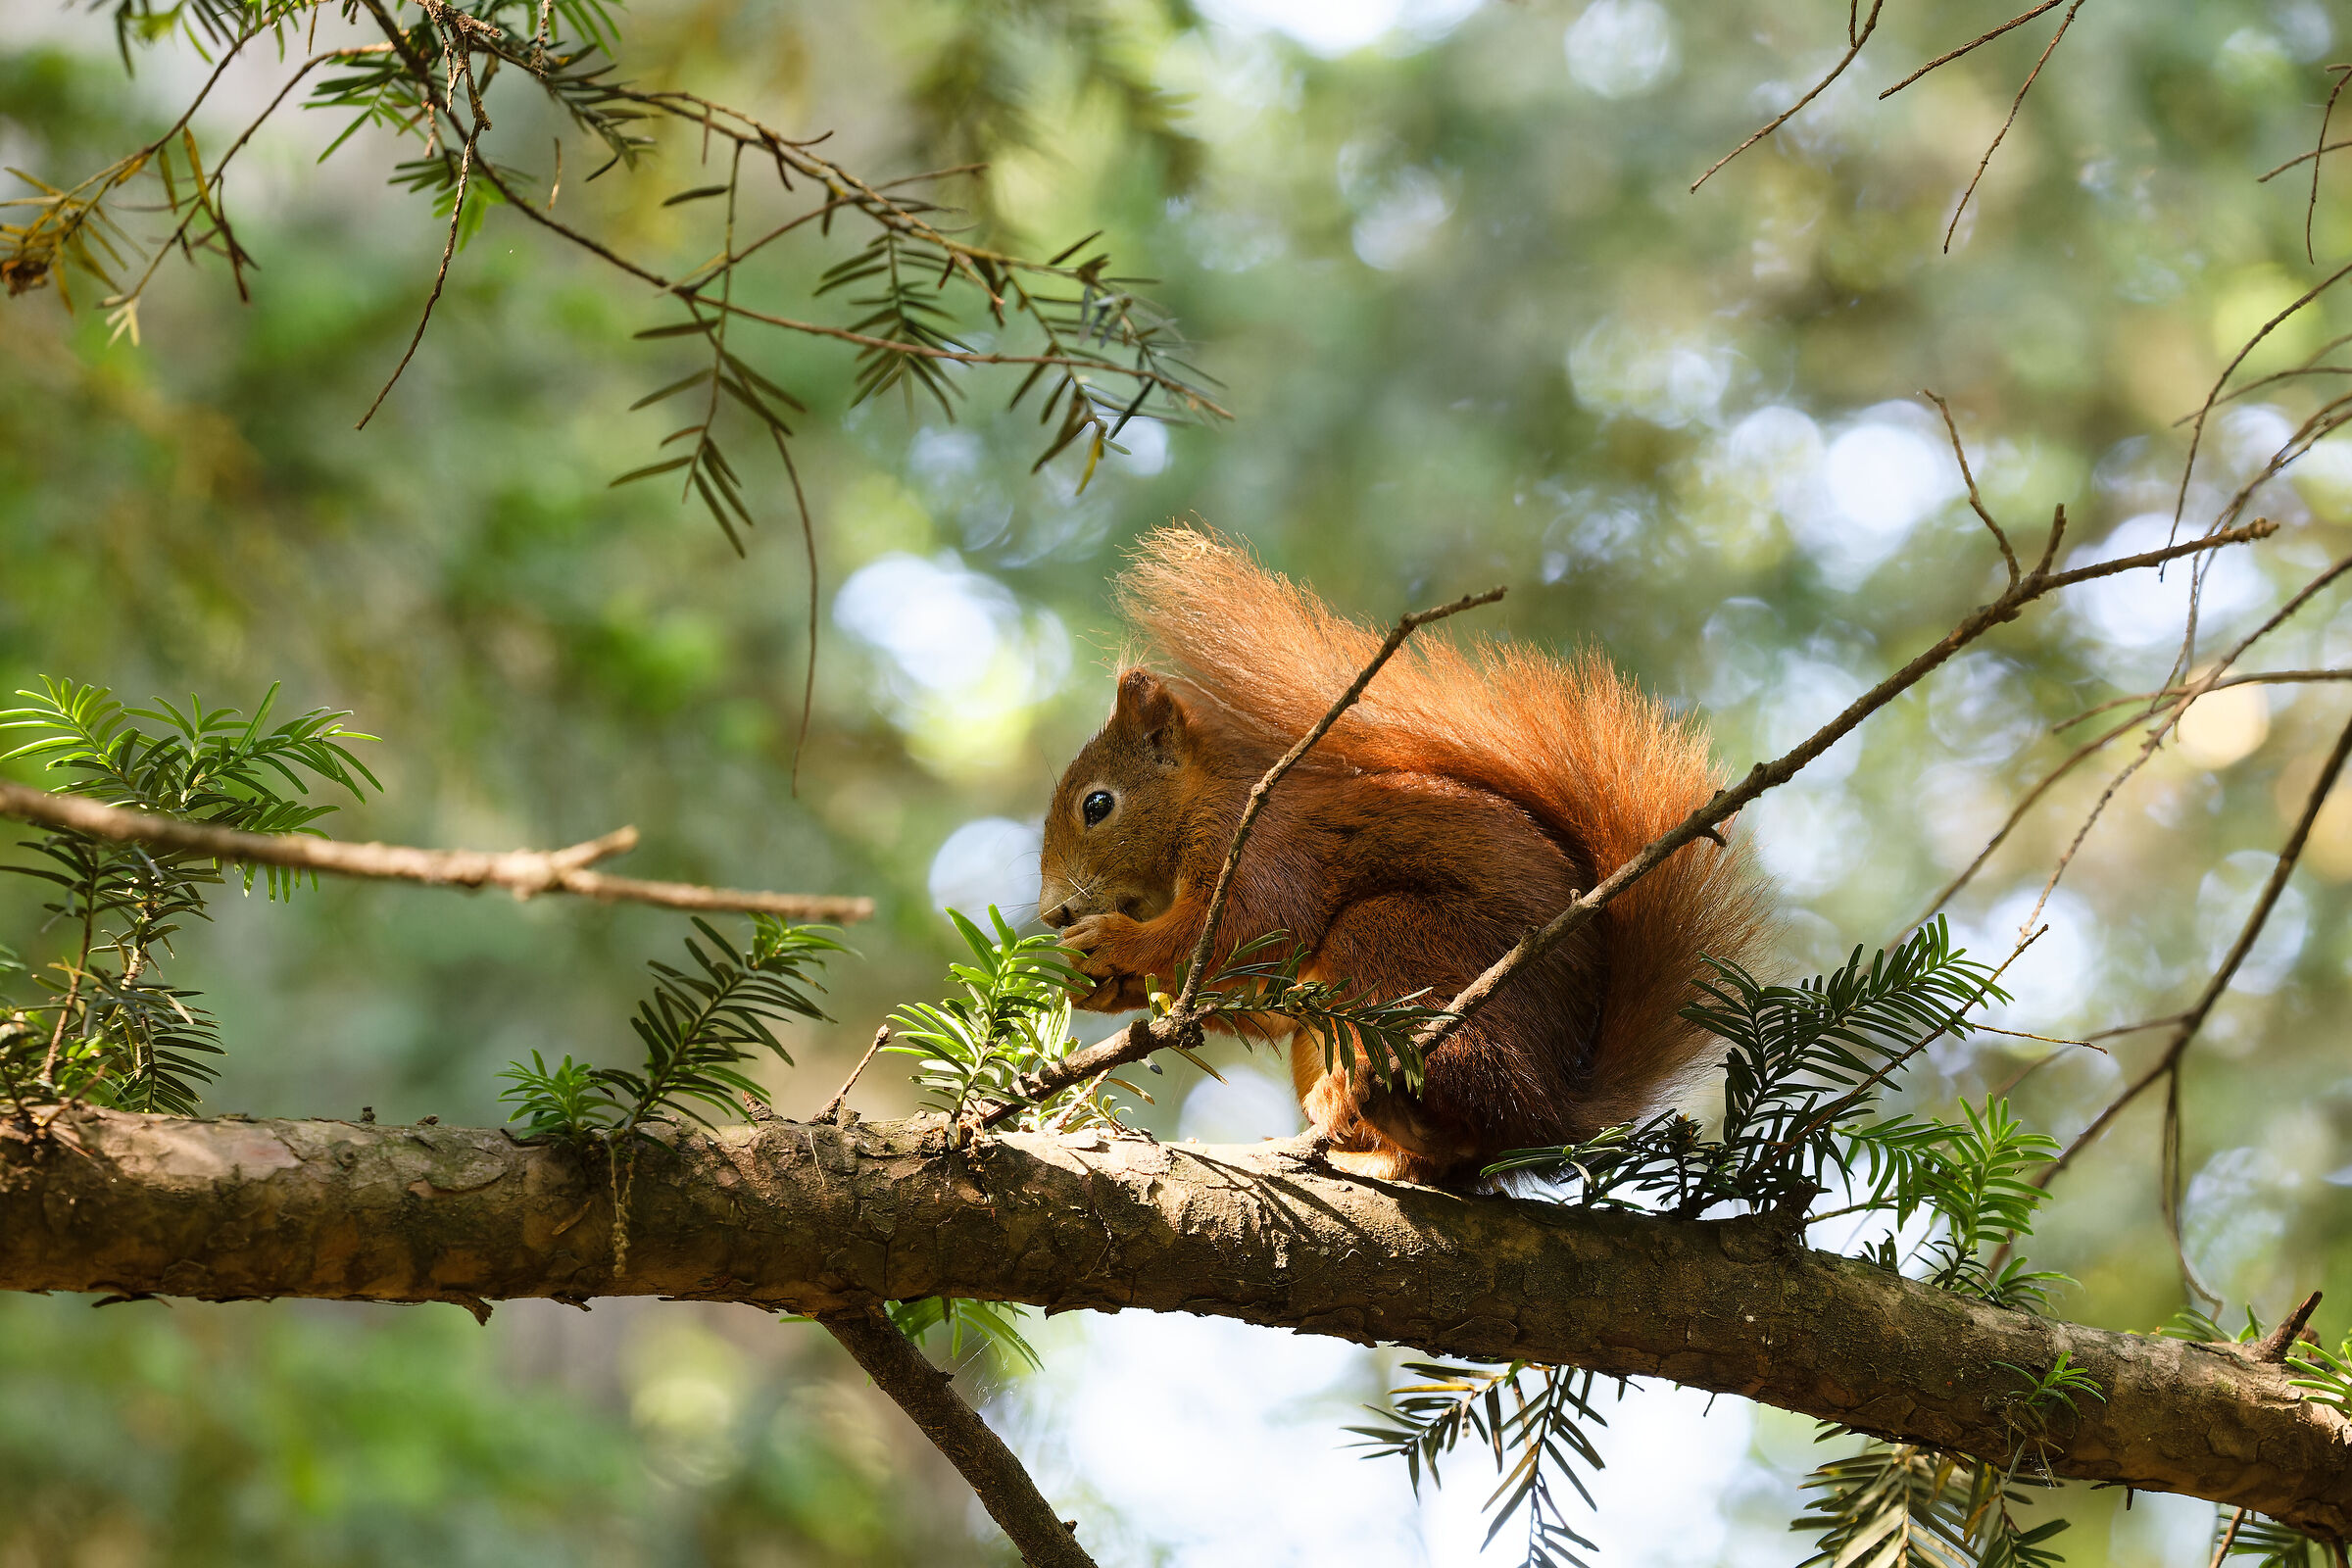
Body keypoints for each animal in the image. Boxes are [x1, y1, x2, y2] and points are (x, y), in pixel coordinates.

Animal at [1037, 528, 1767, 1185]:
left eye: (1097, 805)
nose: (1051, 914)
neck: (1206, 801)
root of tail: (1551, 1114)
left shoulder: (1263, 848)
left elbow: (1247, 932)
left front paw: (1113, 943)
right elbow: (1248, 1000)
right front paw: (1100, 983)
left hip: (1394, 945)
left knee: (1465, 1094)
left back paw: (1375, 1099)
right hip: (1329, 1035)